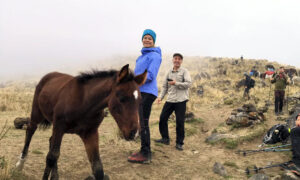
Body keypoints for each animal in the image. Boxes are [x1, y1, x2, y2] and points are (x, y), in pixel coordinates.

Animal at [15, 64, 147, 179]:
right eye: (122, 98)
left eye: (140, 101)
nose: (134, 133)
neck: (84, 103)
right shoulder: (59, 127)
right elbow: (51, 158)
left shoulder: (90, 133)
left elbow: (98, 168)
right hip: (37, 115)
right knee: (30, 131)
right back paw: (19, 164)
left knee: (50, 141)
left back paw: (54, 176)